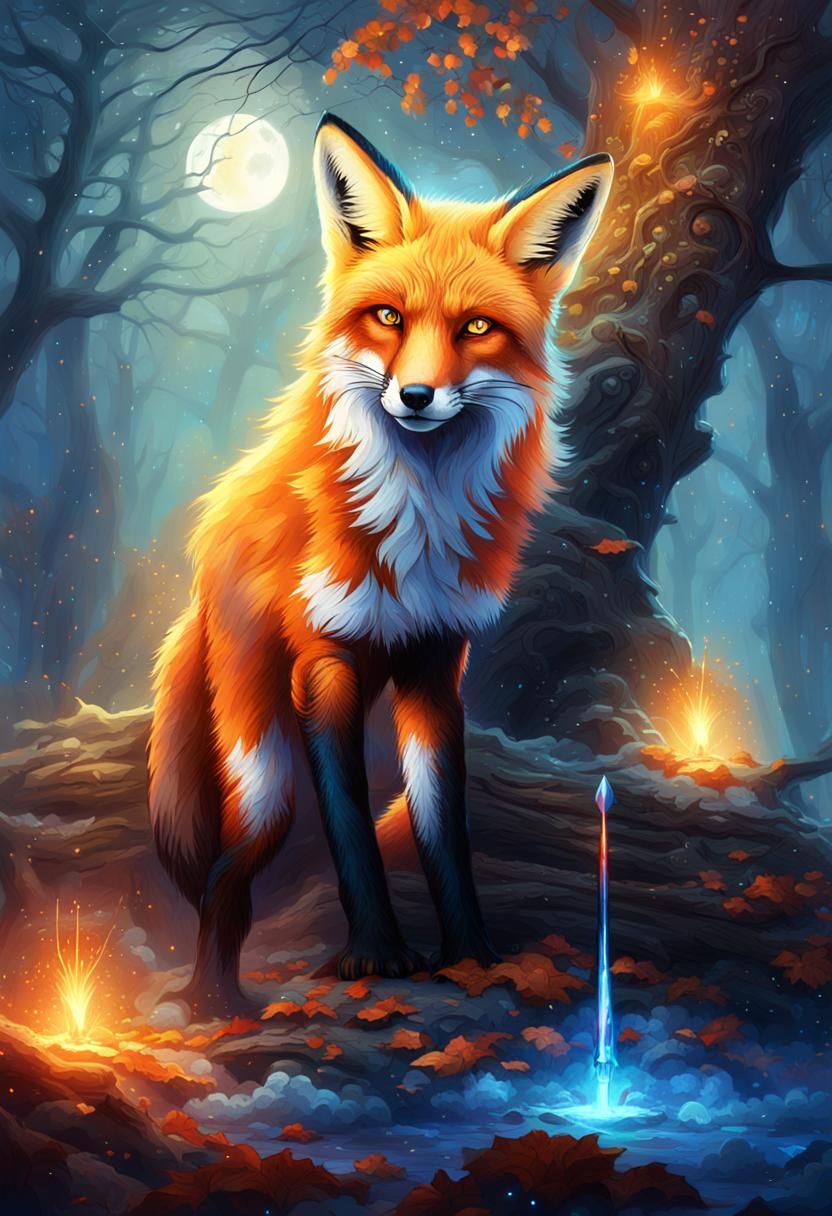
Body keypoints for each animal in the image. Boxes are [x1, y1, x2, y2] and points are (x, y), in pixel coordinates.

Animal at [148, 112, 613, 1017]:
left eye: (475, 328)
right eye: (389, 316)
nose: (417, 397)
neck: (417, 527)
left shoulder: (437, 665)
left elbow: (443, 831)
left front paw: (469, 955)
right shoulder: (324, 661)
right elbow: (353, 831)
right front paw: (376, 954)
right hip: (262, 765)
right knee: (226, 871)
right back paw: (213, 998)